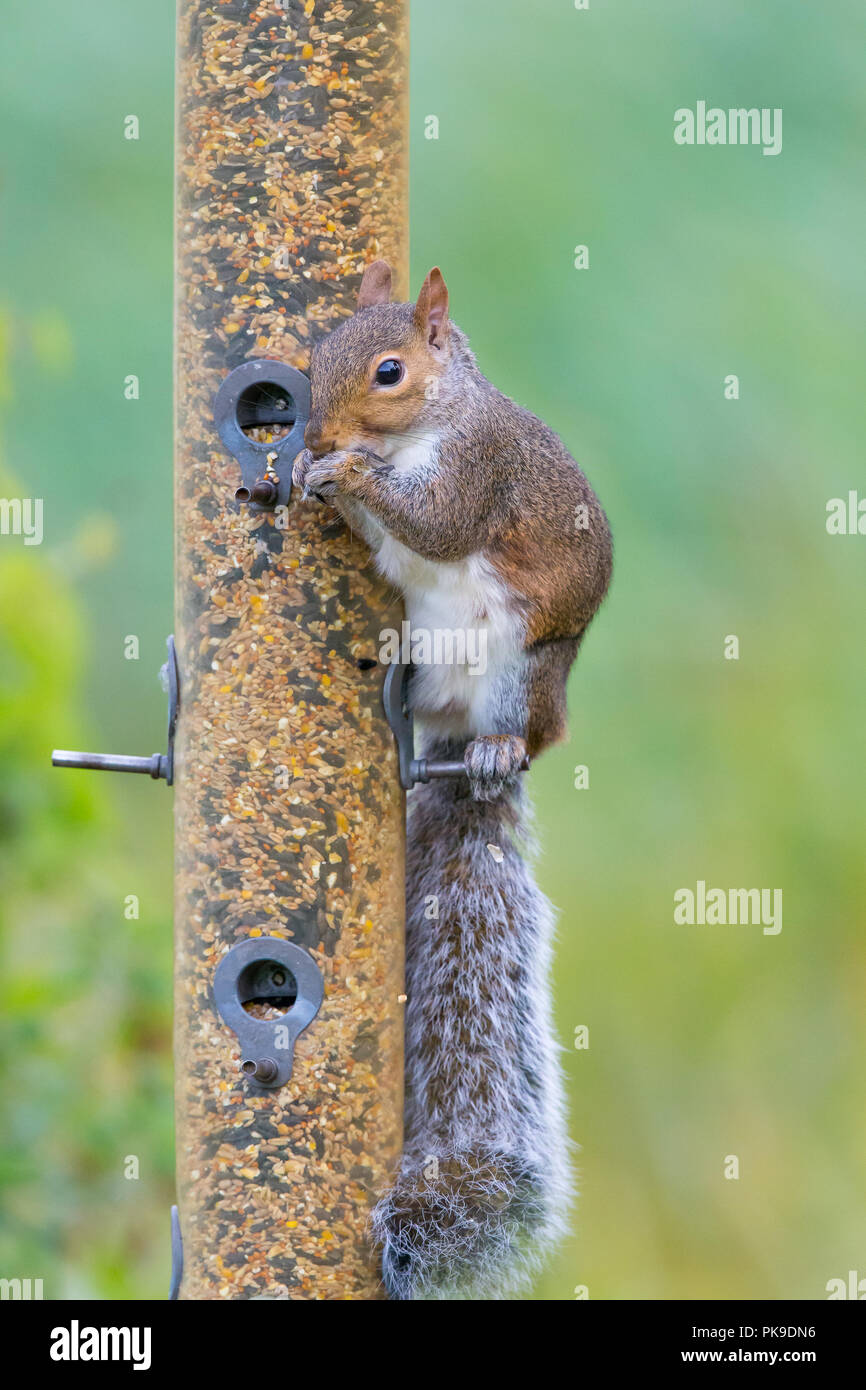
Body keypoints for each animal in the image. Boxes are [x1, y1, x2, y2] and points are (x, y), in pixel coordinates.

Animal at [293, 262, 612, 1300]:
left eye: (388, 372)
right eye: (316, 352)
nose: (315, 436)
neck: (435, 419)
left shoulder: (479, 472)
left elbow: (436, 520)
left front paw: (348, 475)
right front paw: (314, 475)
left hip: (519, 673)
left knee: (517, 732)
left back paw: (495, 753)